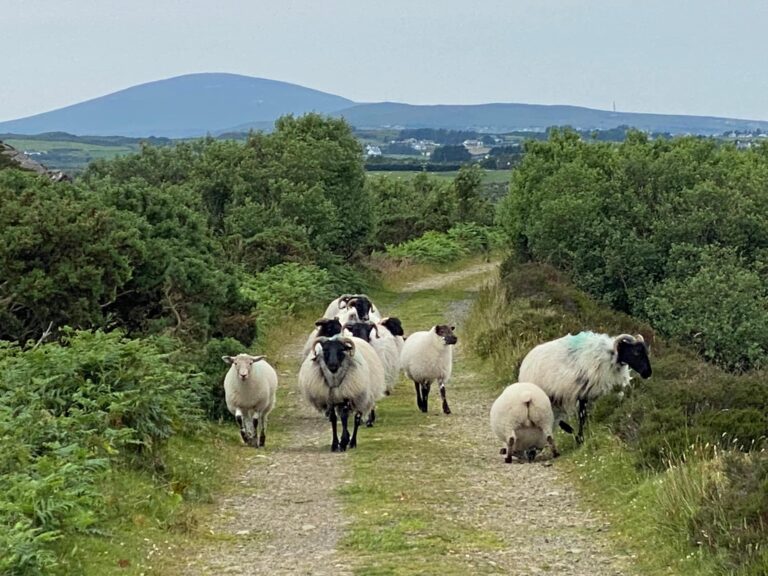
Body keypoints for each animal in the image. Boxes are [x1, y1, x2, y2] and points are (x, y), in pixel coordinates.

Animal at [517, 331, 652, 444]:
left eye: (645, 351)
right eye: (636, 352)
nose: (648, 373)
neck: (609, 356)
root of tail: (524, 364)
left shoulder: (588, 393)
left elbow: (586, 415)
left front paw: (582, 435)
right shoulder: (582, 391)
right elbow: (582, 416)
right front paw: (580, 438)